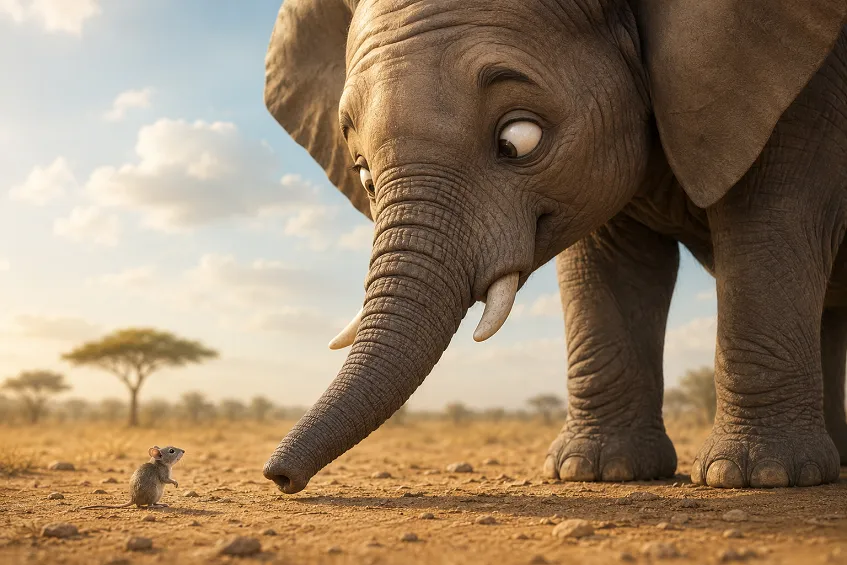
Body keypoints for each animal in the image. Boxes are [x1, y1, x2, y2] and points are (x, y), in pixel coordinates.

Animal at [261, 0, 847, 493]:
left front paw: (755, 477)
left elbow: (768, 224)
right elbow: (610, 264)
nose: (279, 478)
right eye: (363, 172)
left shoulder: (810, 91)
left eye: (518, 139)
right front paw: (598, 471)